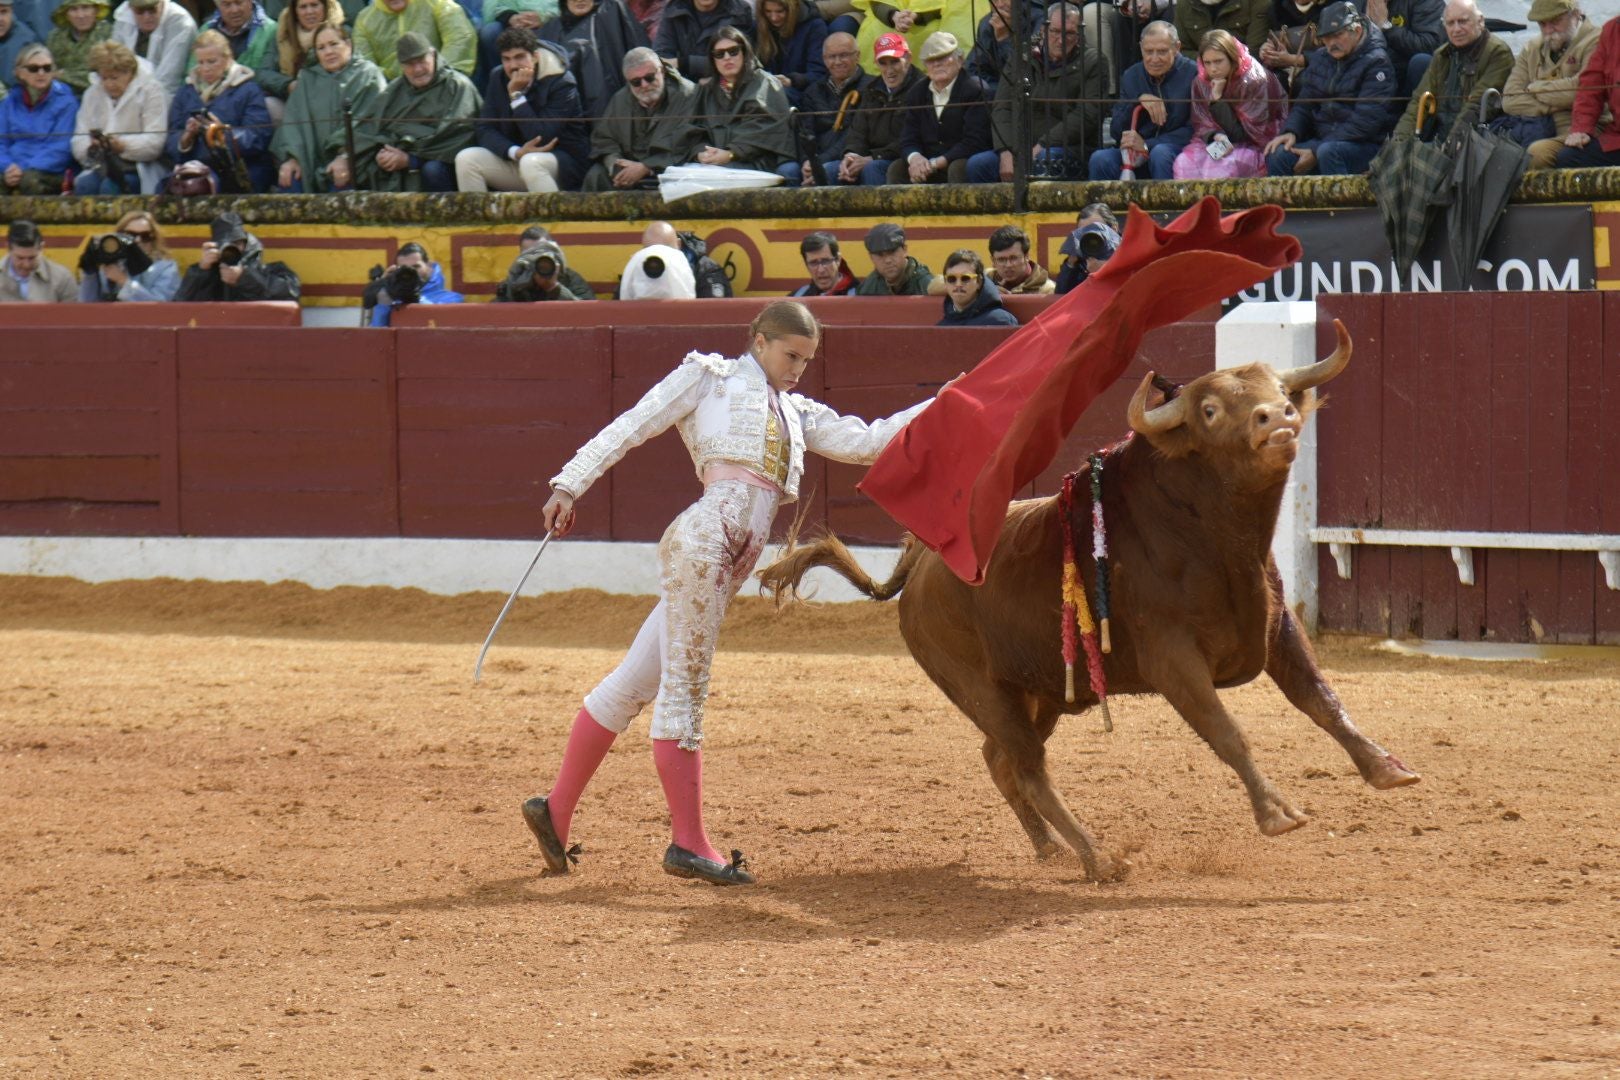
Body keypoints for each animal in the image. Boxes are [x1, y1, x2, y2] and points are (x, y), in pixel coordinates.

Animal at [758, 318, 1419, 880]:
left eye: (1282, 388)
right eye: (1209, 409)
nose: (1276, 418)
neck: (1216, 539)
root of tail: (923, 562)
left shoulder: (1278, 629)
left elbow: (1321, 699)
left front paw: (1388, 768)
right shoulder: (1172, 659)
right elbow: (1227, 730)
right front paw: (1278, 813)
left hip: (1040, 689)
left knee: (1001, 760)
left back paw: (1051, 848)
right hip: (979, 687)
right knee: (1028, 767)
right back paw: (1098, 858)